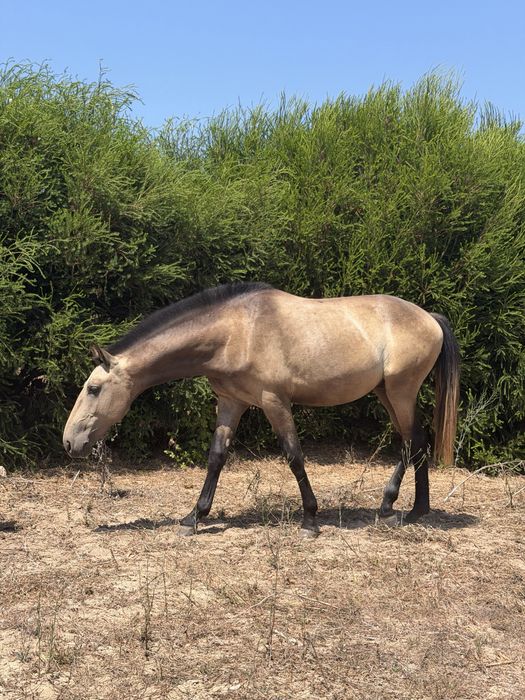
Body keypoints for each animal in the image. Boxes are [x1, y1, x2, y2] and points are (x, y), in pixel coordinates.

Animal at [63, 282, 460, 538]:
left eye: (93, 389)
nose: (69, 442)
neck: (236, 331)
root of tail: (429, 317)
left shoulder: (274, 402)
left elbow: (294, 455)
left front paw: (310, 520)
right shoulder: (230, 403)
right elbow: (216, 457)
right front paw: (194, 517)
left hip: (400, 392)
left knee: (410, 442)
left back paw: (390, 506)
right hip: (387, 393)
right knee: (417, 441)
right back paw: (415, 510)